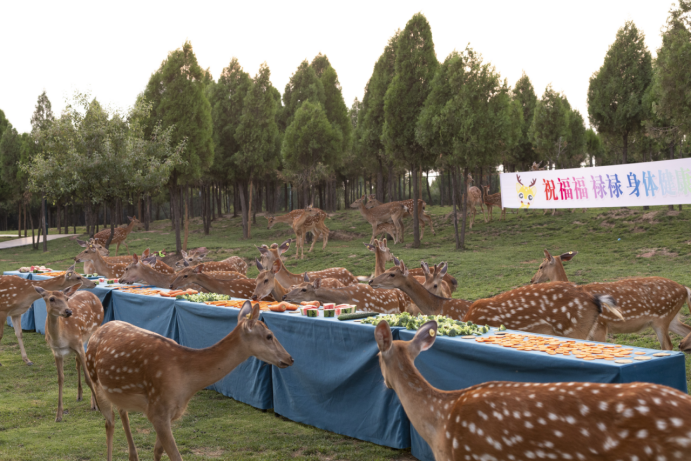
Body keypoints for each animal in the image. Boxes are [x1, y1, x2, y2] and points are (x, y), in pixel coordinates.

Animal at [34, 280, 103, 420]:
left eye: (66, 298)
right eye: (51, 299)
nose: (68, 311)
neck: (60, 339)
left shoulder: (77, 344)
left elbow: (88, 377)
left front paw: (98, 407)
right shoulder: (56, 352)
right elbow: (60, 379)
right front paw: (58, 415)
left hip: (93, 331)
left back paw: (93, 403)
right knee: (77, 362)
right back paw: (79, 395)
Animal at [86, 300, 292, 460]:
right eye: (269, 336)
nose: (290, 358)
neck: (186, 381)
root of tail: (97, 330)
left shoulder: (171, 413)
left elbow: (157, 452)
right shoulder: (157, 410)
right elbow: (176, 456)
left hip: (119, 392)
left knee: (122, 412)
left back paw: (133, 456)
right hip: (94, 379)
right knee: (109, 423)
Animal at [528, 250, 691, 346]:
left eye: (541, 266)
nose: (532, 280)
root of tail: (684, 288)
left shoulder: (600, 326)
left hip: (661, 319)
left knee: (668, 346)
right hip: (671, 318)